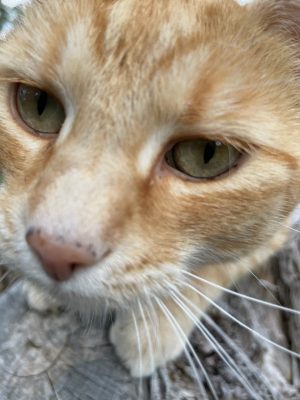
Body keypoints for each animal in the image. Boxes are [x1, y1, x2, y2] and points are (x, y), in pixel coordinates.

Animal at [0, 0, 300, 382]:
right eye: (38, 104)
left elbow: (223, 264)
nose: (55, 250)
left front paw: (154, 326)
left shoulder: (287, 223)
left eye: (208, 154)